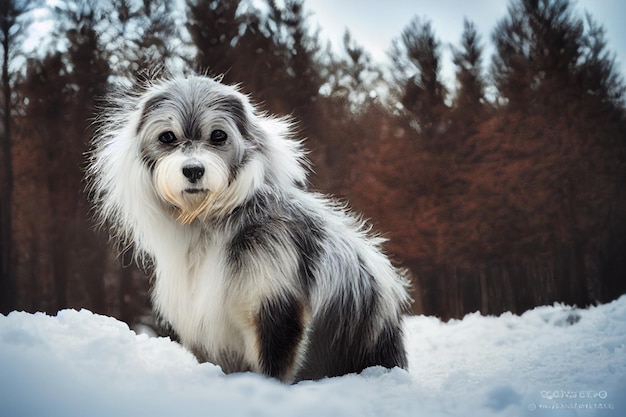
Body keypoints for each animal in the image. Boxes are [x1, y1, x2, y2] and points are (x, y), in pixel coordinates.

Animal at [86, 72, 410, 380]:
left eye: (218, 135)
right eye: (167, 137)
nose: (193, 170)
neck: (211, 223)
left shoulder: (274, 304)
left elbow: (272, 366)